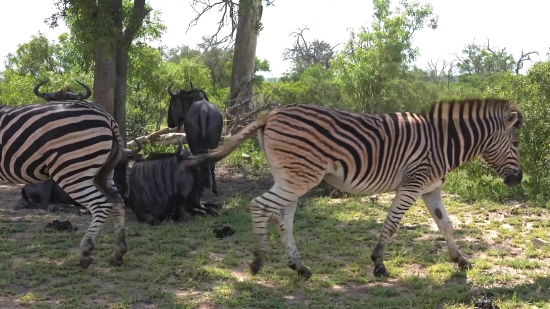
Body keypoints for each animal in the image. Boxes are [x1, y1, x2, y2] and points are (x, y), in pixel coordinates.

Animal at [1, 98, 142, 268]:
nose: (126, 188)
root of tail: (107, 116)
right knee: (118, 202)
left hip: (71, 171)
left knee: (99, 204)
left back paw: (85, 252)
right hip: (101, 173)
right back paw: (118, 253)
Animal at [180, 98, 528, 280]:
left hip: (291, 177)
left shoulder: (430, 189)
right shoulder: (412, 184)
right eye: (516, 144)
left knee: (283, 217)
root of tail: (271, 114)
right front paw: (379, 264)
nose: (517, 180)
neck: (443, 143)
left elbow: (447, 225)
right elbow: (391, 224)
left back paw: (299, 266)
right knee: (260, 206)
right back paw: (258, 262)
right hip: (301, 176)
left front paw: (461, 260)